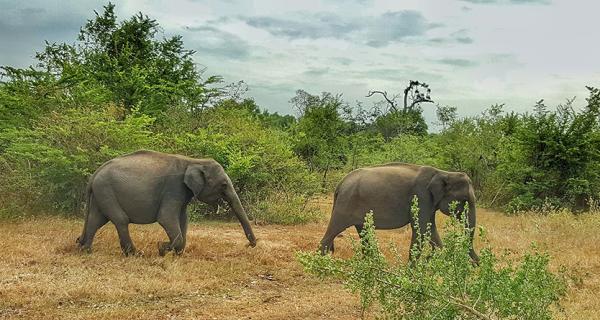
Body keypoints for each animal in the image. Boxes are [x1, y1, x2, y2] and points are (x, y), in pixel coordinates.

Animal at [75, 149, 255, 256]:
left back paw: (85, 250)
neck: (193, 161)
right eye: (223, 185)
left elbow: (183, 219)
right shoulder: (173, 188)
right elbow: (166, 218)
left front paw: (174, 252)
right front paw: (161, 247)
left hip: (101, 193)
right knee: (120, 220)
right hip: (106, 190)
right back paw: (135, 254)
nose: (249, 245)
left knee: (96, 220)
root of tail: (95, 174)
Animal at [318, 162, 478, 262]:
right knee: (335, 229)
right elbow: (420, 230)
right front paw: (411, 272)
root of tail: (340, 183)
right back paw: (323, 263)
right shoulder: (421, 197)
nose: (477, 263)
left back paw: (371, 263)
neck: (443, 173)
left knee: (363, 232)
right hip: (345, 204)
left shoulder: (429, 203)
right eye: (465, 200)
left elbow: (430, 230)